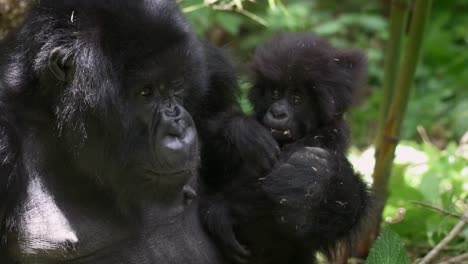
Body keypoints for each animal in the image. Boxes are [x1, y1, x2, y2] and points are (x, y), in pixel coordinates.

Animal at [202, 33, 370, 264]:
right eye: (275, 92)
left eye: (296, 99)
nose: (278, 113)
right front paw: (242, 130)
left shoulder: (327, 139)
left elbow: (292, 218)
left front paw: (222, 214)